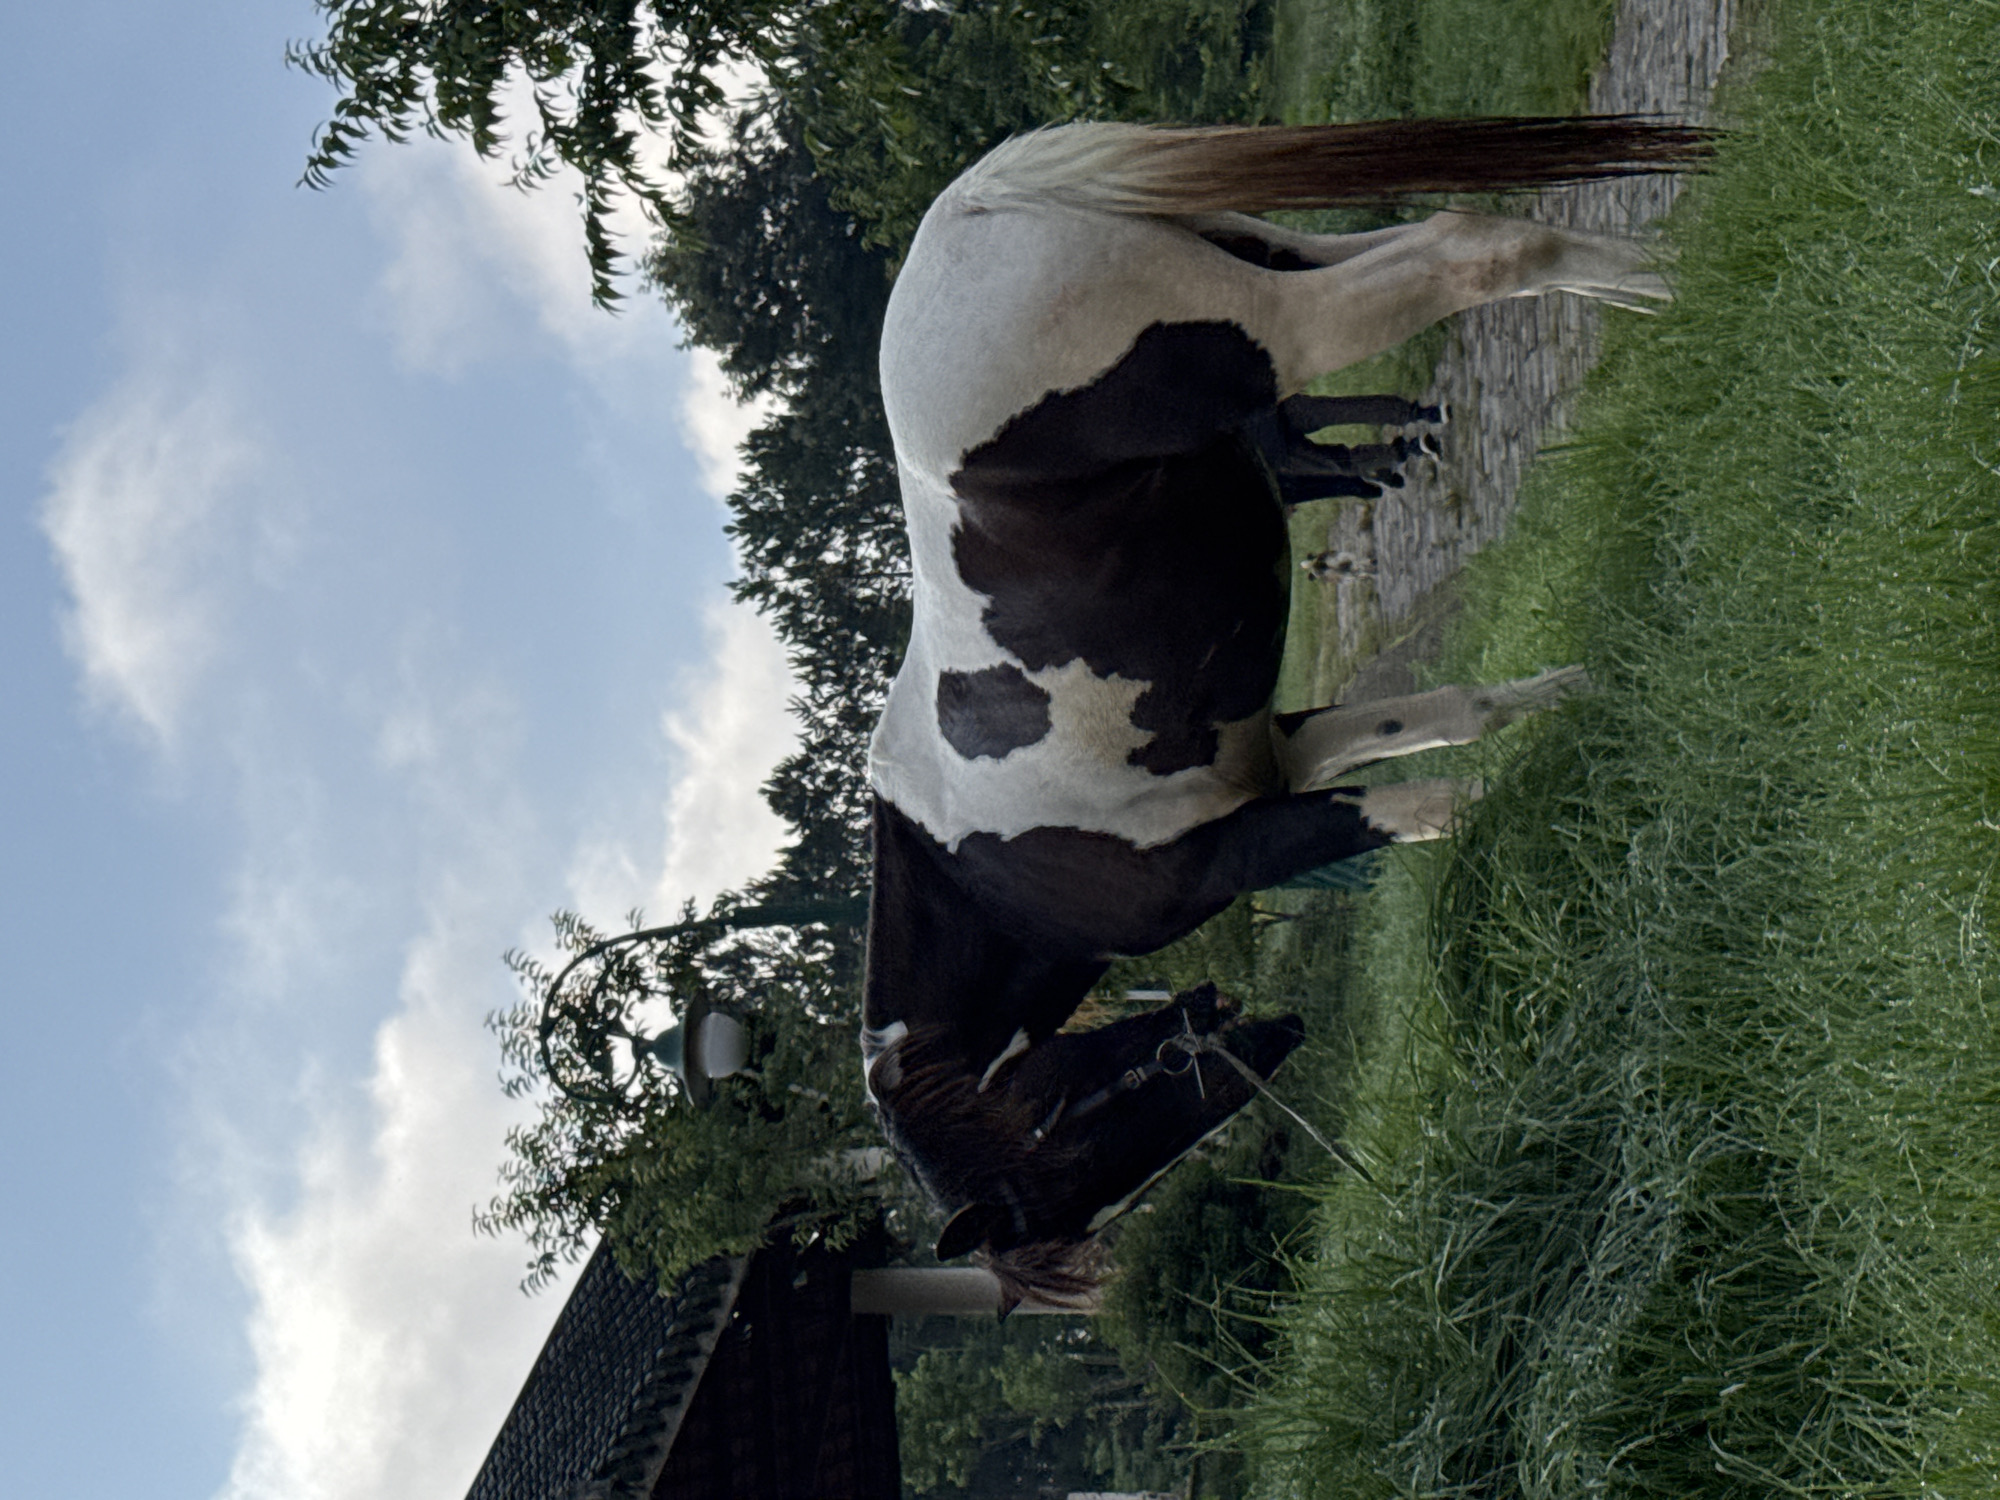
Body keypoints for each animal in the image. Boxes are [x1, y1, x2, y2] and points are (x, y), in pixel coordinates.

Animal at [858, 117, 1711, 1308]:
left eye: (1057, 1136)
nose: (1251, 1048)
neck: (981, 862)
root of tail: (972, 208)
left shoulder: (1238, 848)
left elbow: (1437, 803)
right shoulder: (1284, 755)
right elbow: (1452, 718)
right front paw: (1577, 693)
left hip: (1279, 329)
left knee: (1470, 250)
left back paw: (1681, 280)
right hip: (1275, 255)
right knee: (1475, 237)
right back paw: (1673, 277)